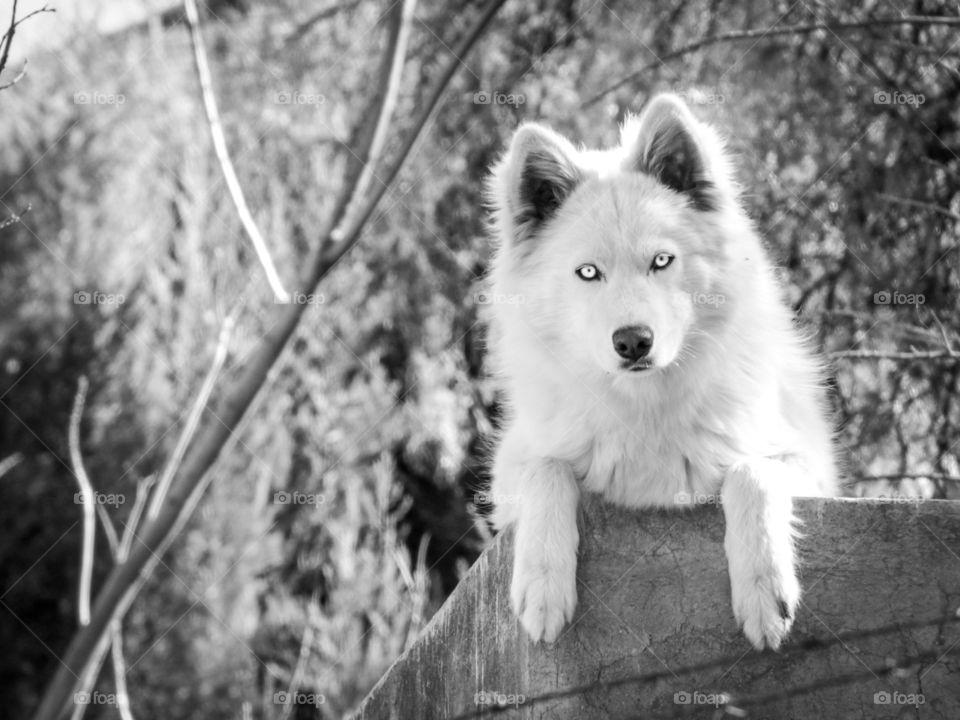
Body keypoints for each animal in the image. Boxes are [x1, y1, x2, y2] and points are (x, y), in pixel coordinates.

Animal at [484, 93, 836, 648]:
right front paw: (542, 586)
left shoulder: (804, 459)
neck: (645, 408)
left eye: (662, 261)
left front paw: (764, 590)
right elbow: (548, 470)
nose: (633, 342)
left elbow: (751, 472)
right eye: (589, 272)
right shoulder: (514, 464)